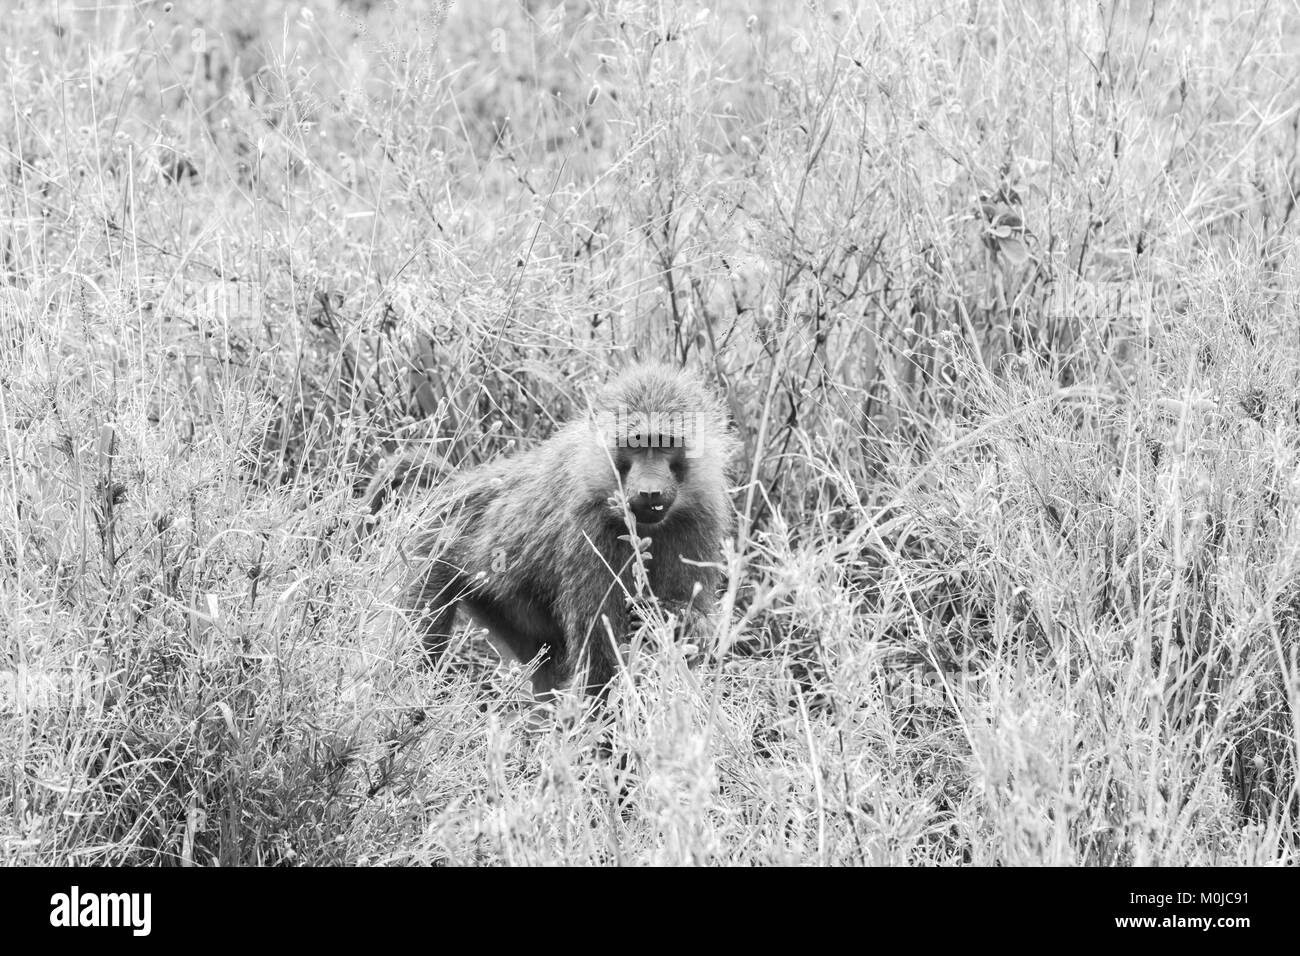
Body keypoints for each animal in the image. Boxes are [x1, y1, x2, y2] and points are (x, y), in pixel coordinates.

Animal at [402, 363, 737, 700]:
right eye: (636, 443)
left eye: (666, 443)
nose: (650, 490)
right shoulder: (589, 527)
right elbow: (599, 663)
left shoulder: (699, 519)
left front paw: (674, 618)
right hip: (429, 555)